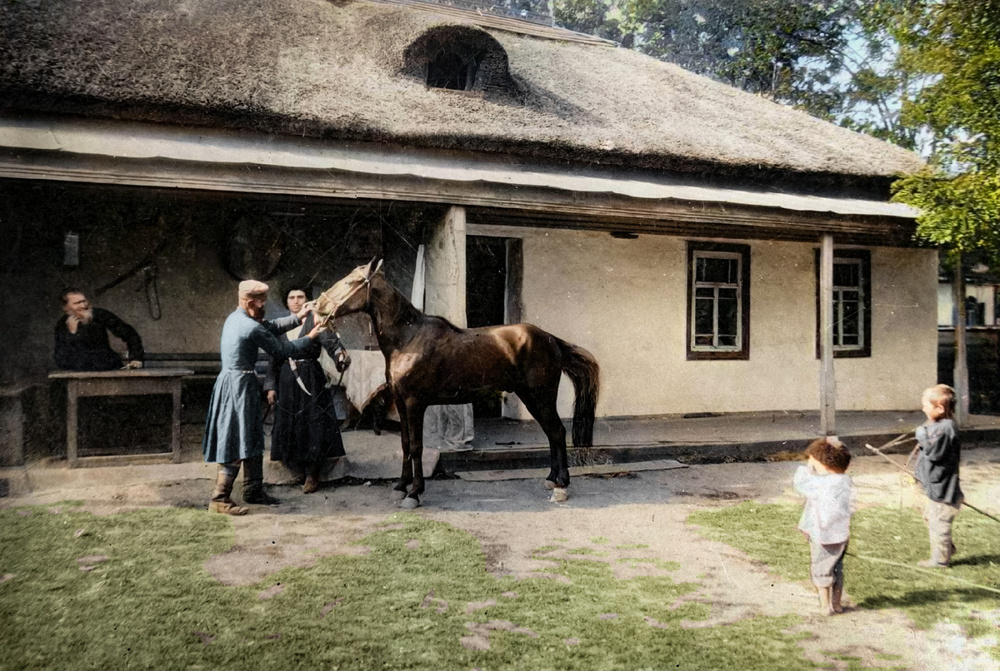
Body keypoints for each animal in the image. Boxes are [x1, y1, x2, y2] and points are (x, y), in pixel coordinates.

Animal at [312, 260, 596, 506]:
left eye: (351, 282)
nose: (318, 306)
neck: (408, 338)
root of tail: (551, 339)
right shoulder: (401, 403)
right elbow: (404, 445)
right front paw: (401, 487)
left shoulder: (415, 404)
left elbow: (416, 447)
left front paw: (414, 494)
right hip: (530, 397)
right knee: (551, 433)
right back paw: (551, 479)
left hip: (540, 396)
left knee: (557, 431)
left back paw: (561, 486)